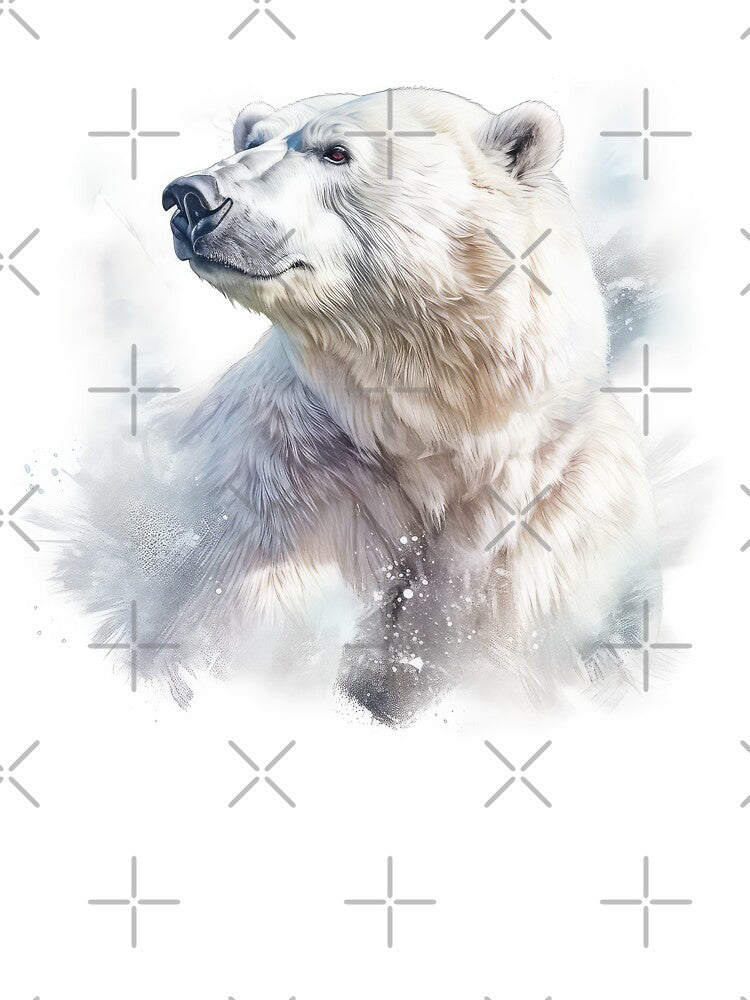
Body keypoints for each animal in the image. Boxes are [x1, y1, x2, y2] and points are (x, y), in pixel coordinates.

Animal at [66, 88, 659, 725]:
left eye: (336, 151)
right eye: (253, 141)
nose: (190, 196)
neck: (428, 433)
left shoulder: (547, 519)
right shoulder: (294, 494)